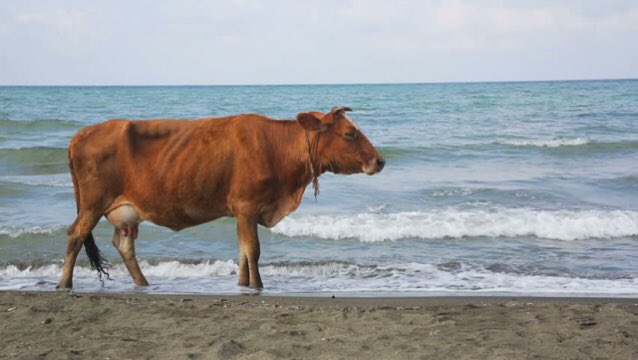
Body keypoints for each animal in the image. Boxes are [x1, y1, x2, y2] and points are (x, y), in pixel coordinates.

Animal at [57, 107, 384, 290]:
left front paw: (242, 284)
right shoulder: (247, 205)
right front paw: (257, 286)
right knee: (75, 235)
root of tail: (81, 134)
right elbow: (253, 250)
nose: (380, 161)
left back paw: (144, 283)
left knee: (123, 244)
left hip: (124, 212)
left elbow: (241, 251)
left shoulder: (241, 211)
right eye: (350, 134)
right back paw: (64, 283)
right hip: (92, 204)